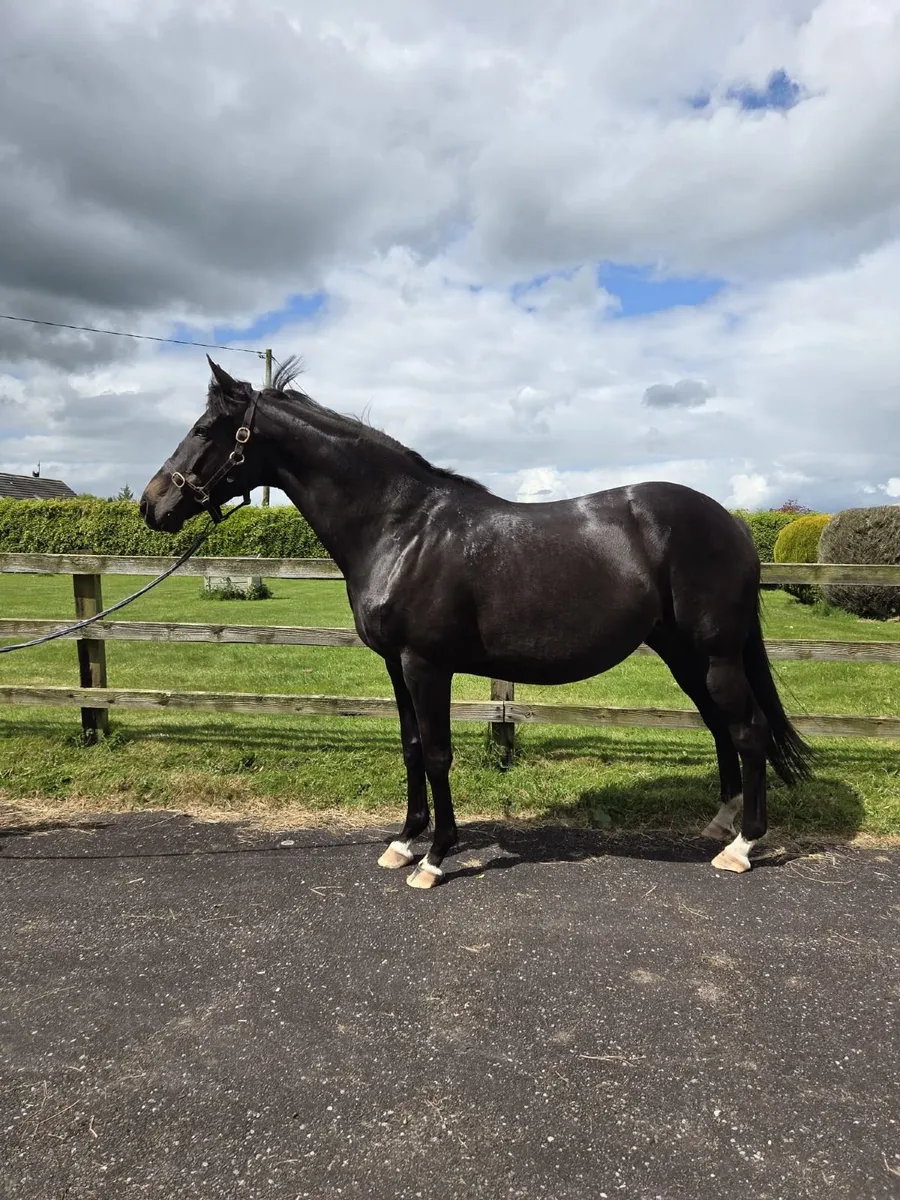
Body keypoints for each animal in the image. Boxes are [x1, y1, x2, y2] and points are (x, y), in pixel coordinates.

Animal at [141, 356, 813, 889]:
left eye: (204, 429)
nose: (152, 505)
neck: (402, 528)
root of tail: (732, 525)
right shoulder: (396, 666)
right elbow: (411, 747)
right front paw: (403, 841)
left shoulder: (426, 665)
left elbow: (438, 753)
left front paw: (436, 857)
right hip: (684, 655)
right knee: (723, 729)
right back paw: (721, 825)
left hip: (715, 654)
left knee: (749, 731)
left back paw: (743, 847)